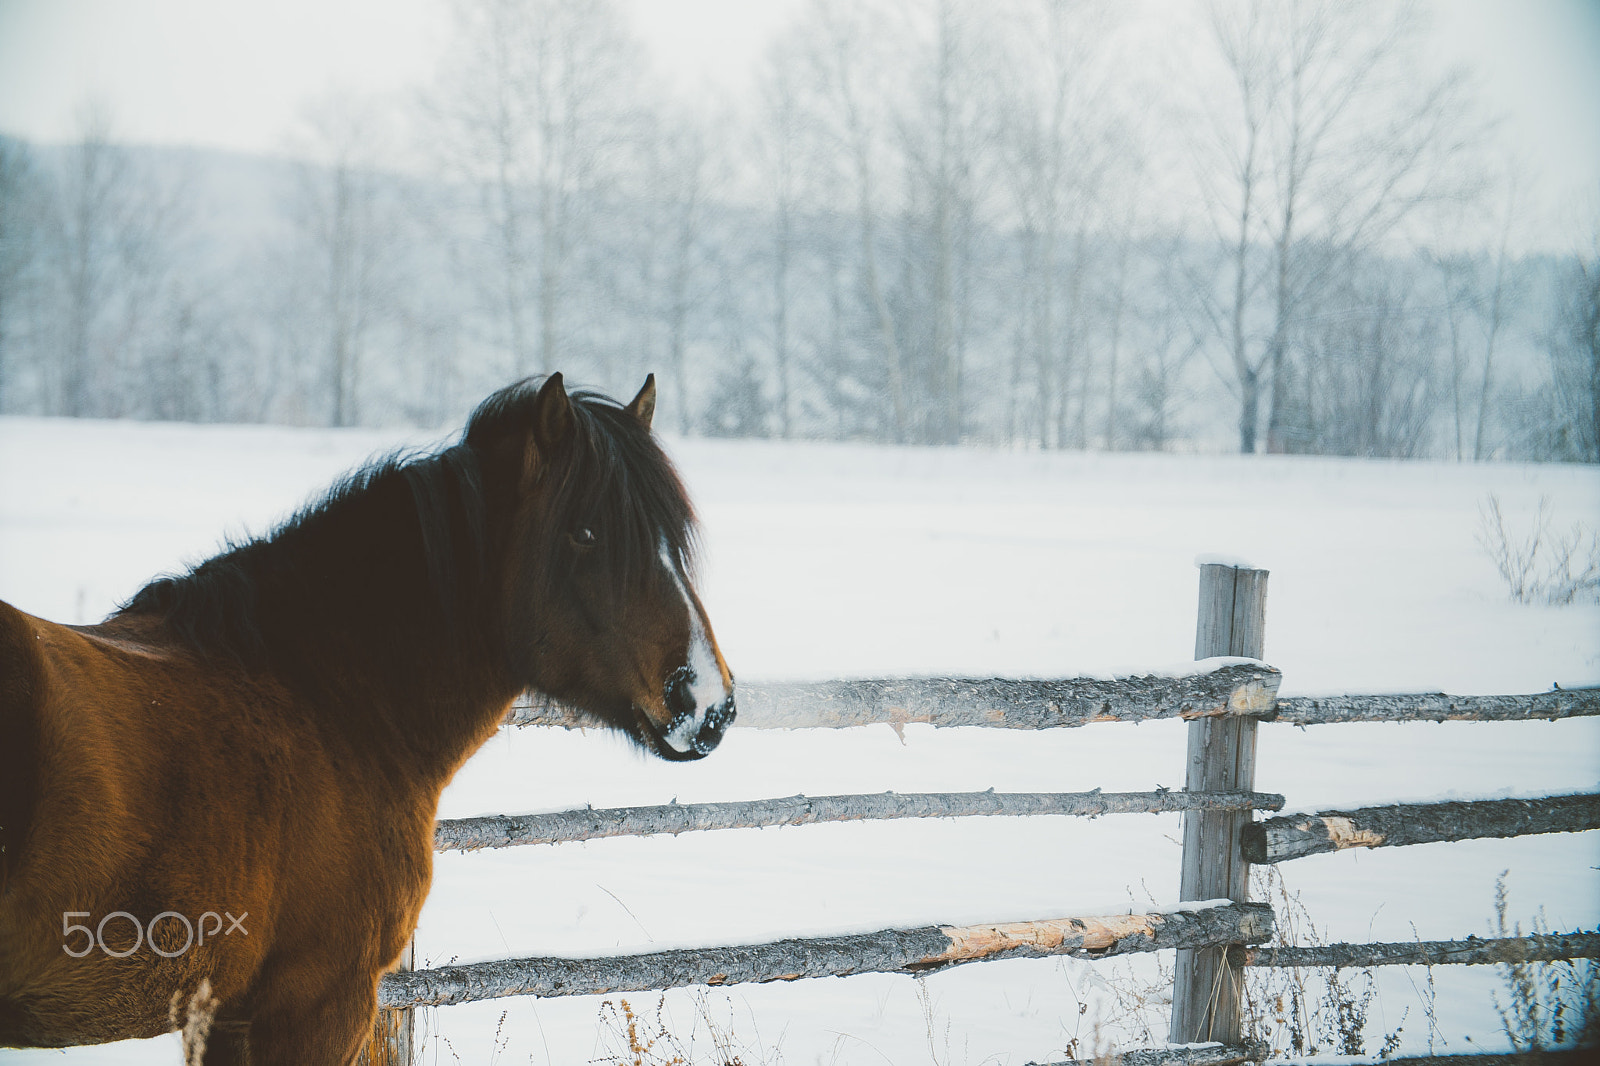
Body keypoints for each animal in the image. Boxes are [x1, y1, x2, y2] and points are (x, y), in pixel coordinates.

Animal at [0, 371, 736, 1056]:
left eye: (673, 537)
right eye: (585, 533)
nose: (707, 704)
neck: (325, 697)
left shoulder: (224, 1013)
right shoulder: (318, 1002)